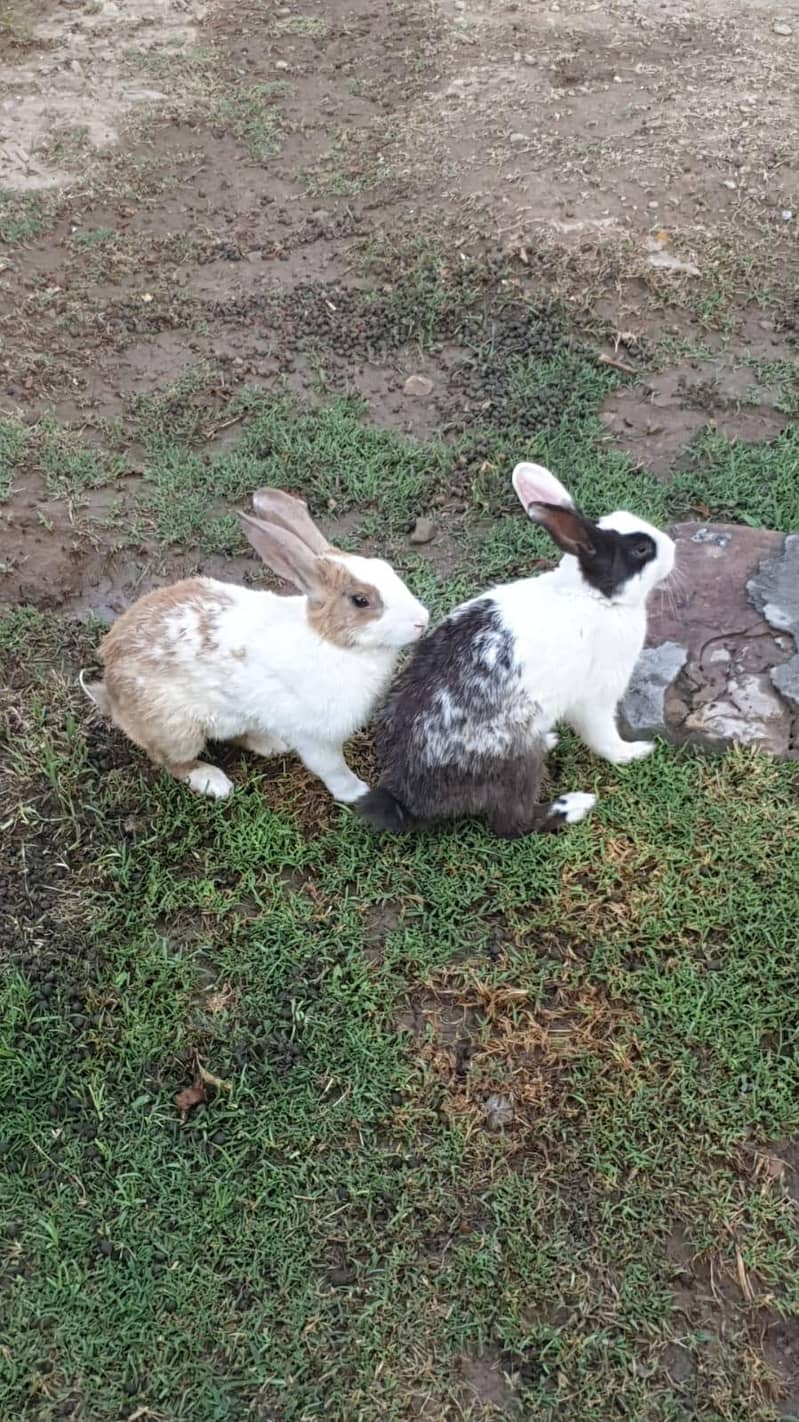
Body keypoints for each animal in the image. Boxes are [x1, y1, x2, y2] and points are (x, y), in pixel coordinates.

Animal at [80, 488, 430, 803]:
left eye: (386, 568)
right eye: (361, 600)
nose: (422, 620)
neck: (331, 642)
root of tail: (111, 692)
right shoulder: (315, 738)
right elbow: (332, 769)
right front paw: (358, 793)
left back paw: (272, 743)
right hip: (178, 730)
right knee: (171, 761)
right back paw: (214, 781)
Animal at [356, 461, 676, 839]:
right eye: (641, 550)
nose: (673, 547)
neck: (594, 595)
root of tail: (410, 801)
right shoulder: (596, 696)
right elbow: (604, 739)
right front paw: (635, 752)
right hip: (516, 758)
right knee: (513, 822)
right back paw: (573, 806)